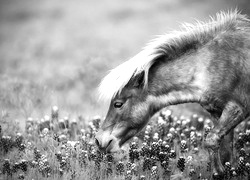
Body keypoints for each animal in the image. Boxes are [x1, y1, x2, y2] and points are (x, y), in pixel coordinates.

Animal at [94, 10, 250, 176]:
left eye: (118, 104)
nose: (98, 140)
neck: (208, 66)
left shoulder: (239, 107)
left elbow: (211, 140)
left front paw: (219, 171)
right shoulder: (216, 112)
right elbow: (226, 152)